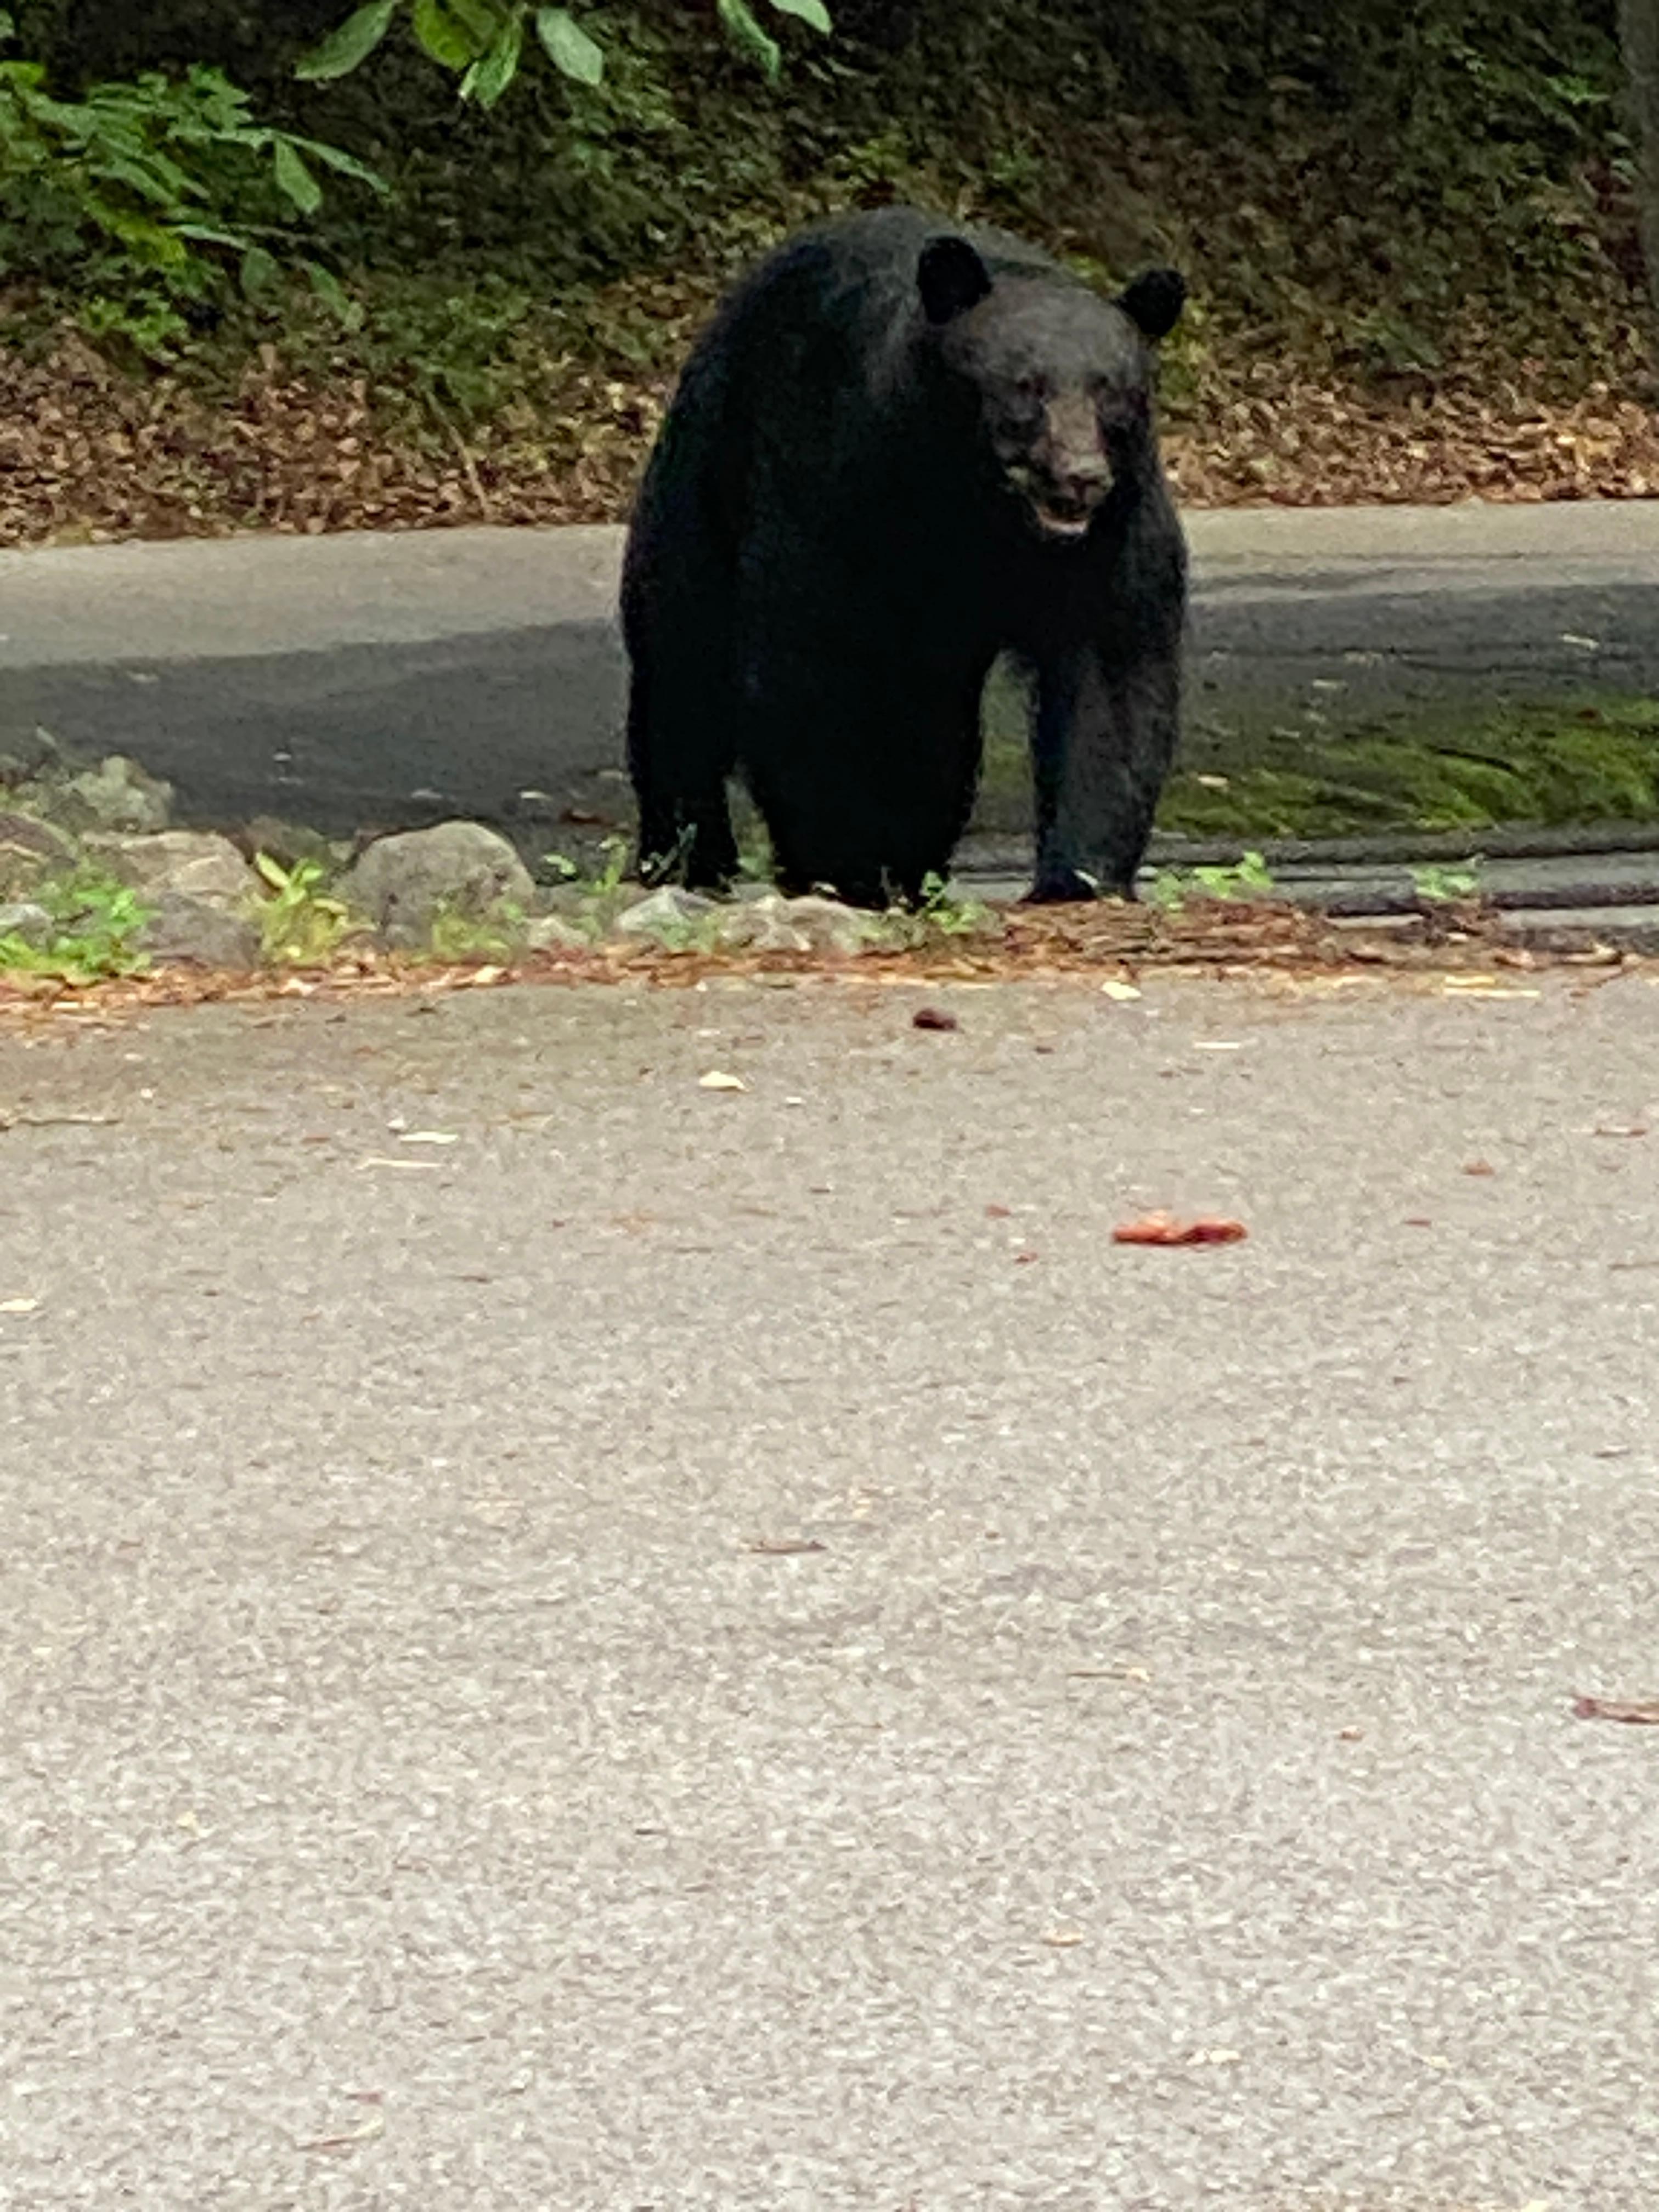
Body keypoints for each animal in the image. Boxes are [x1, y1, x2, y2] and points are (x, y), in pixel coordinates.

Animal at [621, 205, 1187, 908]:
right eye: (1026, 387)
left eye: (1114, 392)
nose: (1079, 477)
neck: (970, 500)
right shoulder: (835, 480)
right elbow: (805, 659)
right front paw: (841, 864)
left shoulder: (1115, 522)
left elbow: (1110, 663)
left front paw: (1080, 877)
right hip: (705, 468)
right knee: (683, 663)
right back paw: (689, 855)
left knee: (933, 731)